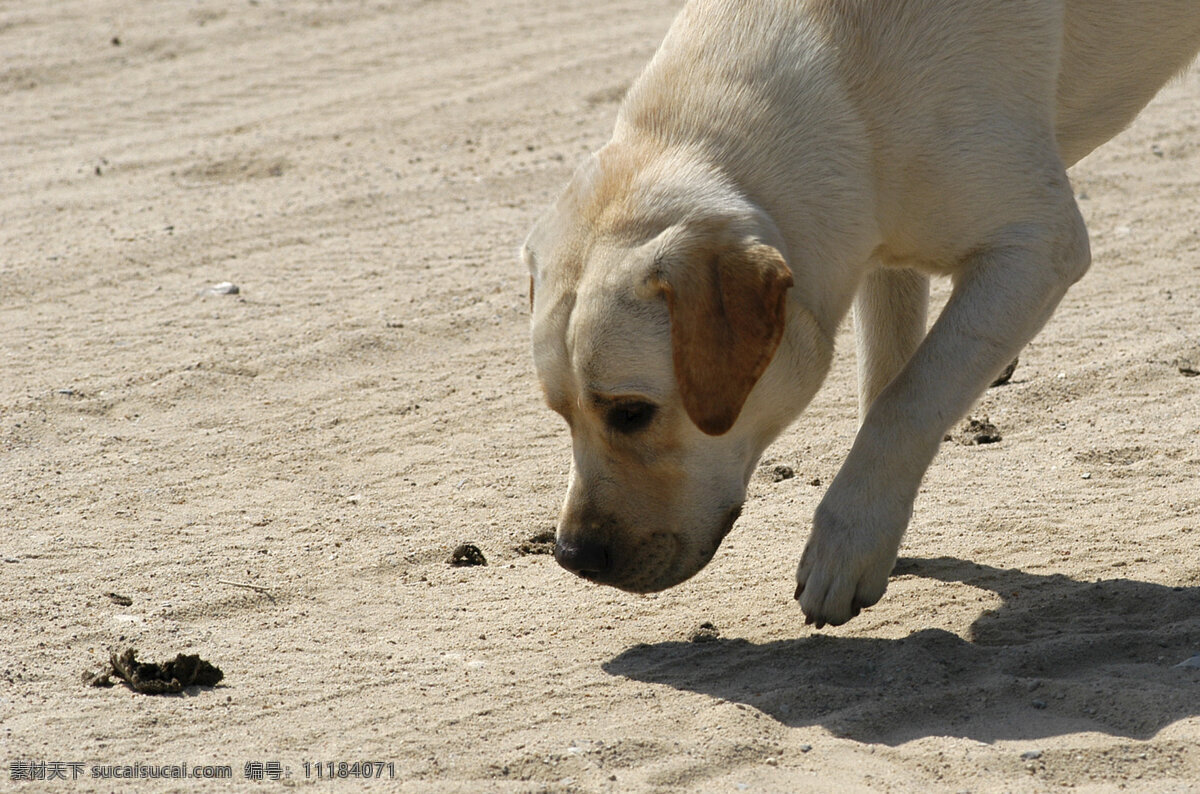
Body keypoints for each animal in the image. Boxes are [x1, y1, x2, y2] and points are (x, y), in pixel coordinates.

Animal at [518, 0, 1200, 633]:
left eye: (632, 413)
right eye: (560, 414)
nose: (573, 556)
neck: (845, 74)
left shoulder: (1037, 246)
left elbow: (906, 402)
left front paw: (845, 545)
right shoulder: (881, 246)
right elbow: (886, 388)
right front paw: (881, 537)